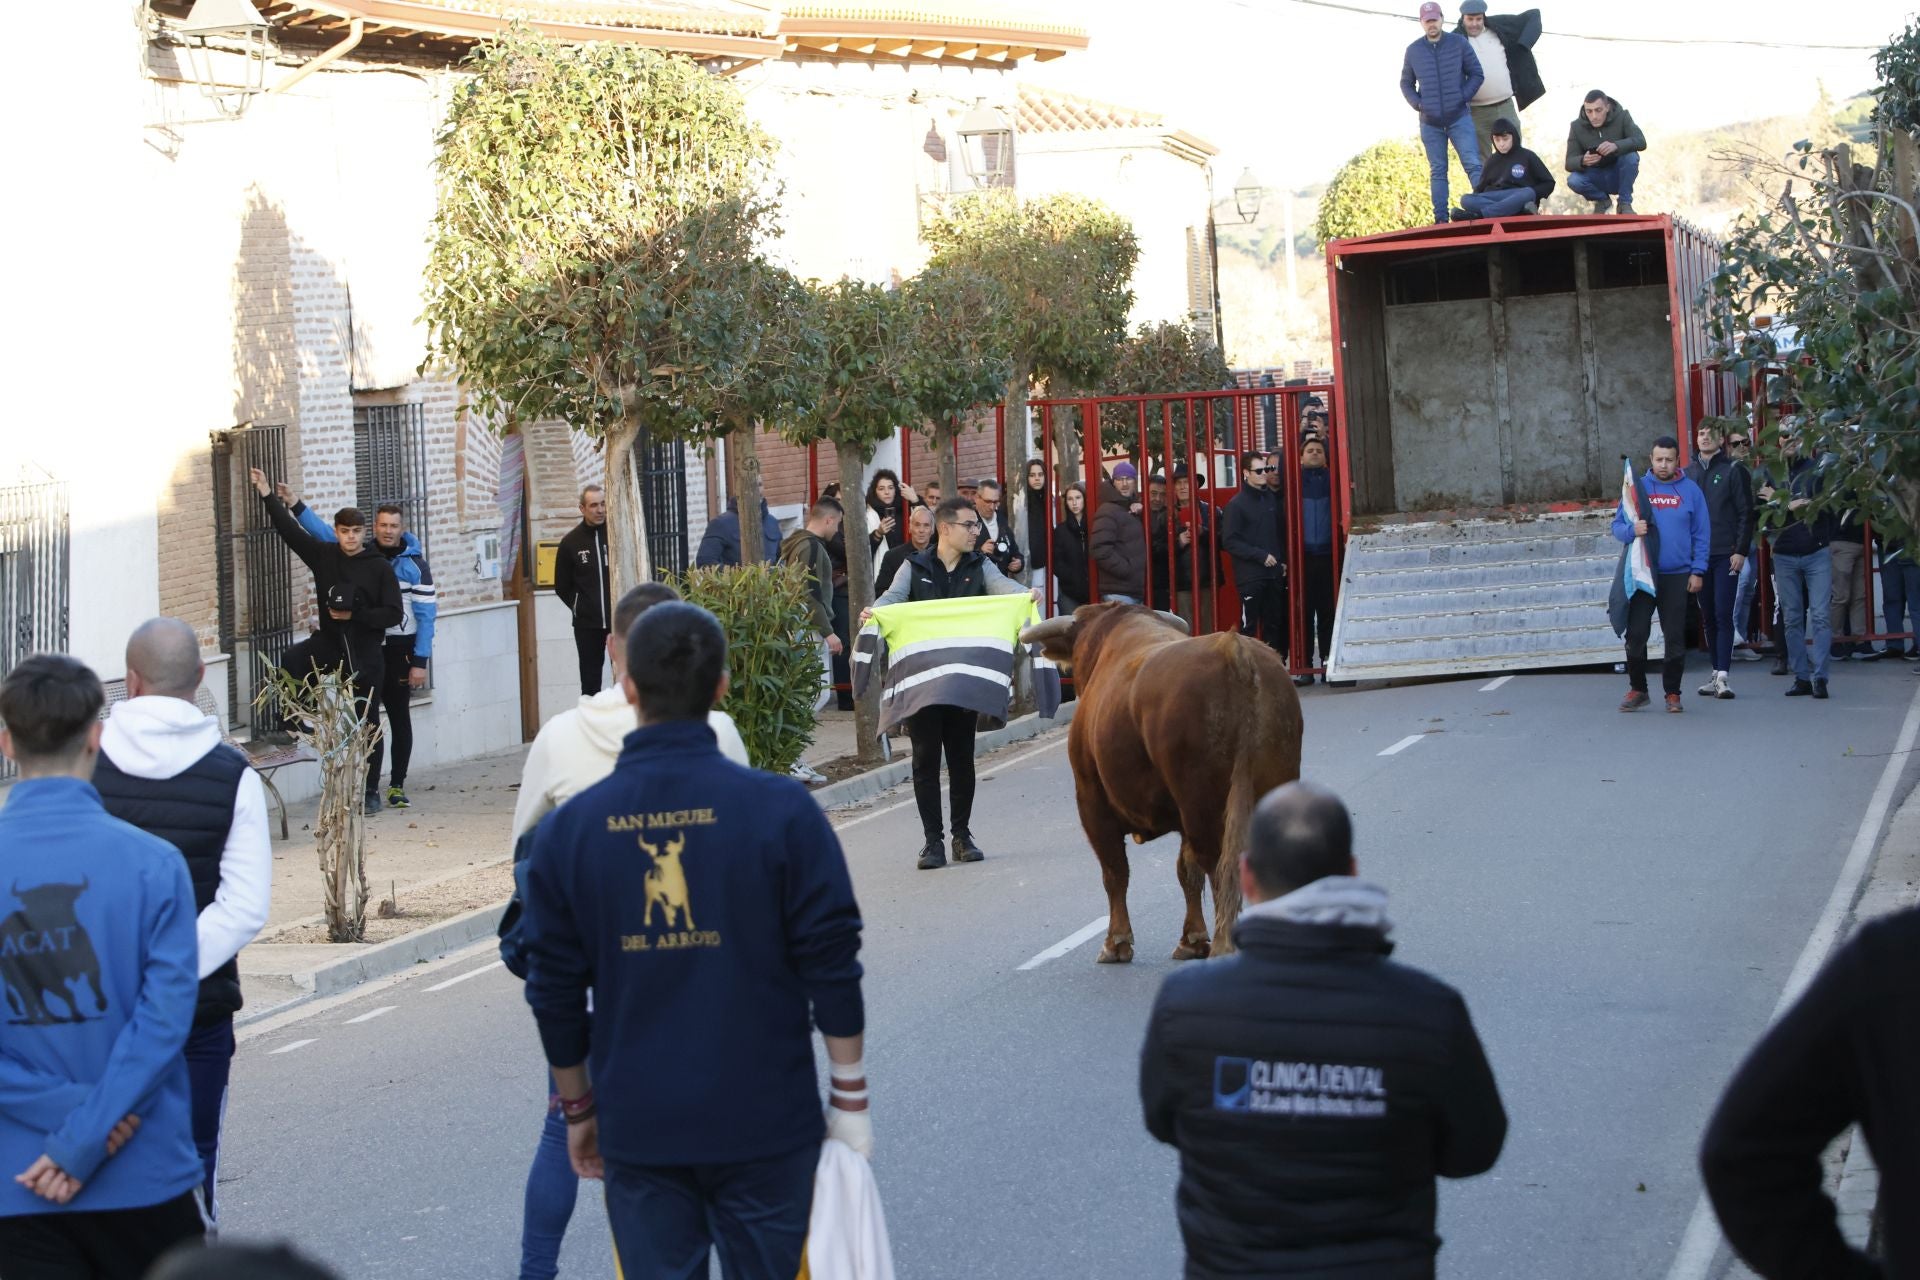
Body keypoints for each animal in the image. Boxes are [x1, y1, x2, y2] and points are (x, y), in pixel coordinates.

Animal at [1021, 606, 1305, 967]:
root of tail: (1234, 652)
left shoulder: (1091, 801)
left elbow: (1115, 872)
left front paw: (1116, 942)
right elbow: (1186, 872)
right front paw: (1192, 939)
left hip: (1202, 804)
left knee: (1218, 866)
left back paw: (1224, 946)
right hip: (1267, 787)